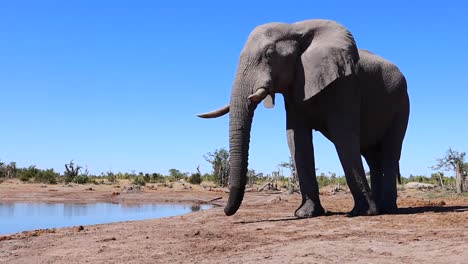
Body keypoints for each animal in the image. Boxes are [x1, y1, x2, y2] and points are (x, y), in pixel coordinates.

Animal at [198, 19, 410, 218]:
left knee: (390, 152)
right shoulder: (295, 86)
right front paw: (305, 214)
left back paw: (387, 208)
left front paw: (363, 212)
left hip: (402, 103)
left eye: (269, 55)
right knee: (372, 156)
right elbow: (296, 138)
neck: (295, 29)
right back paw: (381, 207)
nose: (226, 211)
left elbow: (344, 136)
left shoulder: (344, 83)